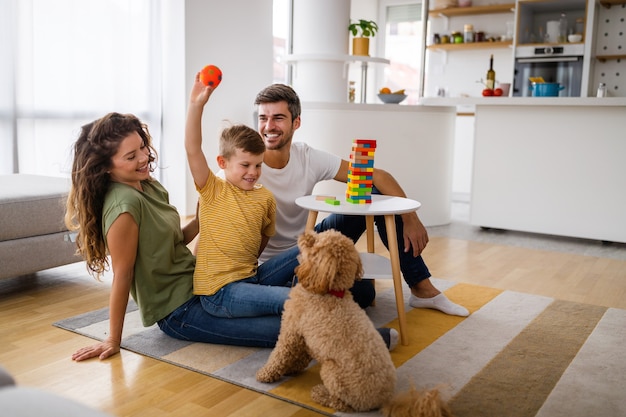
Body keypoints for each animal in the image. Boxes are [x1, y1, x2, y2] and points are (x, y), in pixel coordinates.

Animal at [256, 229, 450, 414]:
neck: (331, 292)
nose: (304, 234)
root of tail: (383, 400)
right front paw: (292, 369)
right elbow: (298, 355)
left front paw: (265, 374)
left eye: (316, 241)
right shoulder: (305, 337)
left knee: (343, 404)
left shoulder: (291, 329)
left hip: (331, 372)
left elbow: (278, 355)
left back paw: (320, 394)